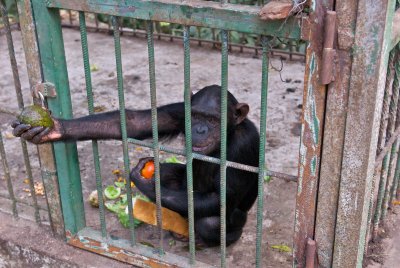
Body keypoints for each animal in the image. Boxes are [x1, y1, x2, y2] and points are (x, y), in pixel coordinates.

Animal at [12, 85, 260, 246]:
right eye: (196, 116)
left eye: (213, 120)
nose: (200, 129)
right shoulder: (181, 110)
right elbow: (132, 122)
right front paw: (55, 128)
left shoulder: (243, 147)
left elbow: (221, 198)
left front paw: (146, 184)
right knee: (170, 175)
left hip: (236, 224)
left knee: (210, 222)